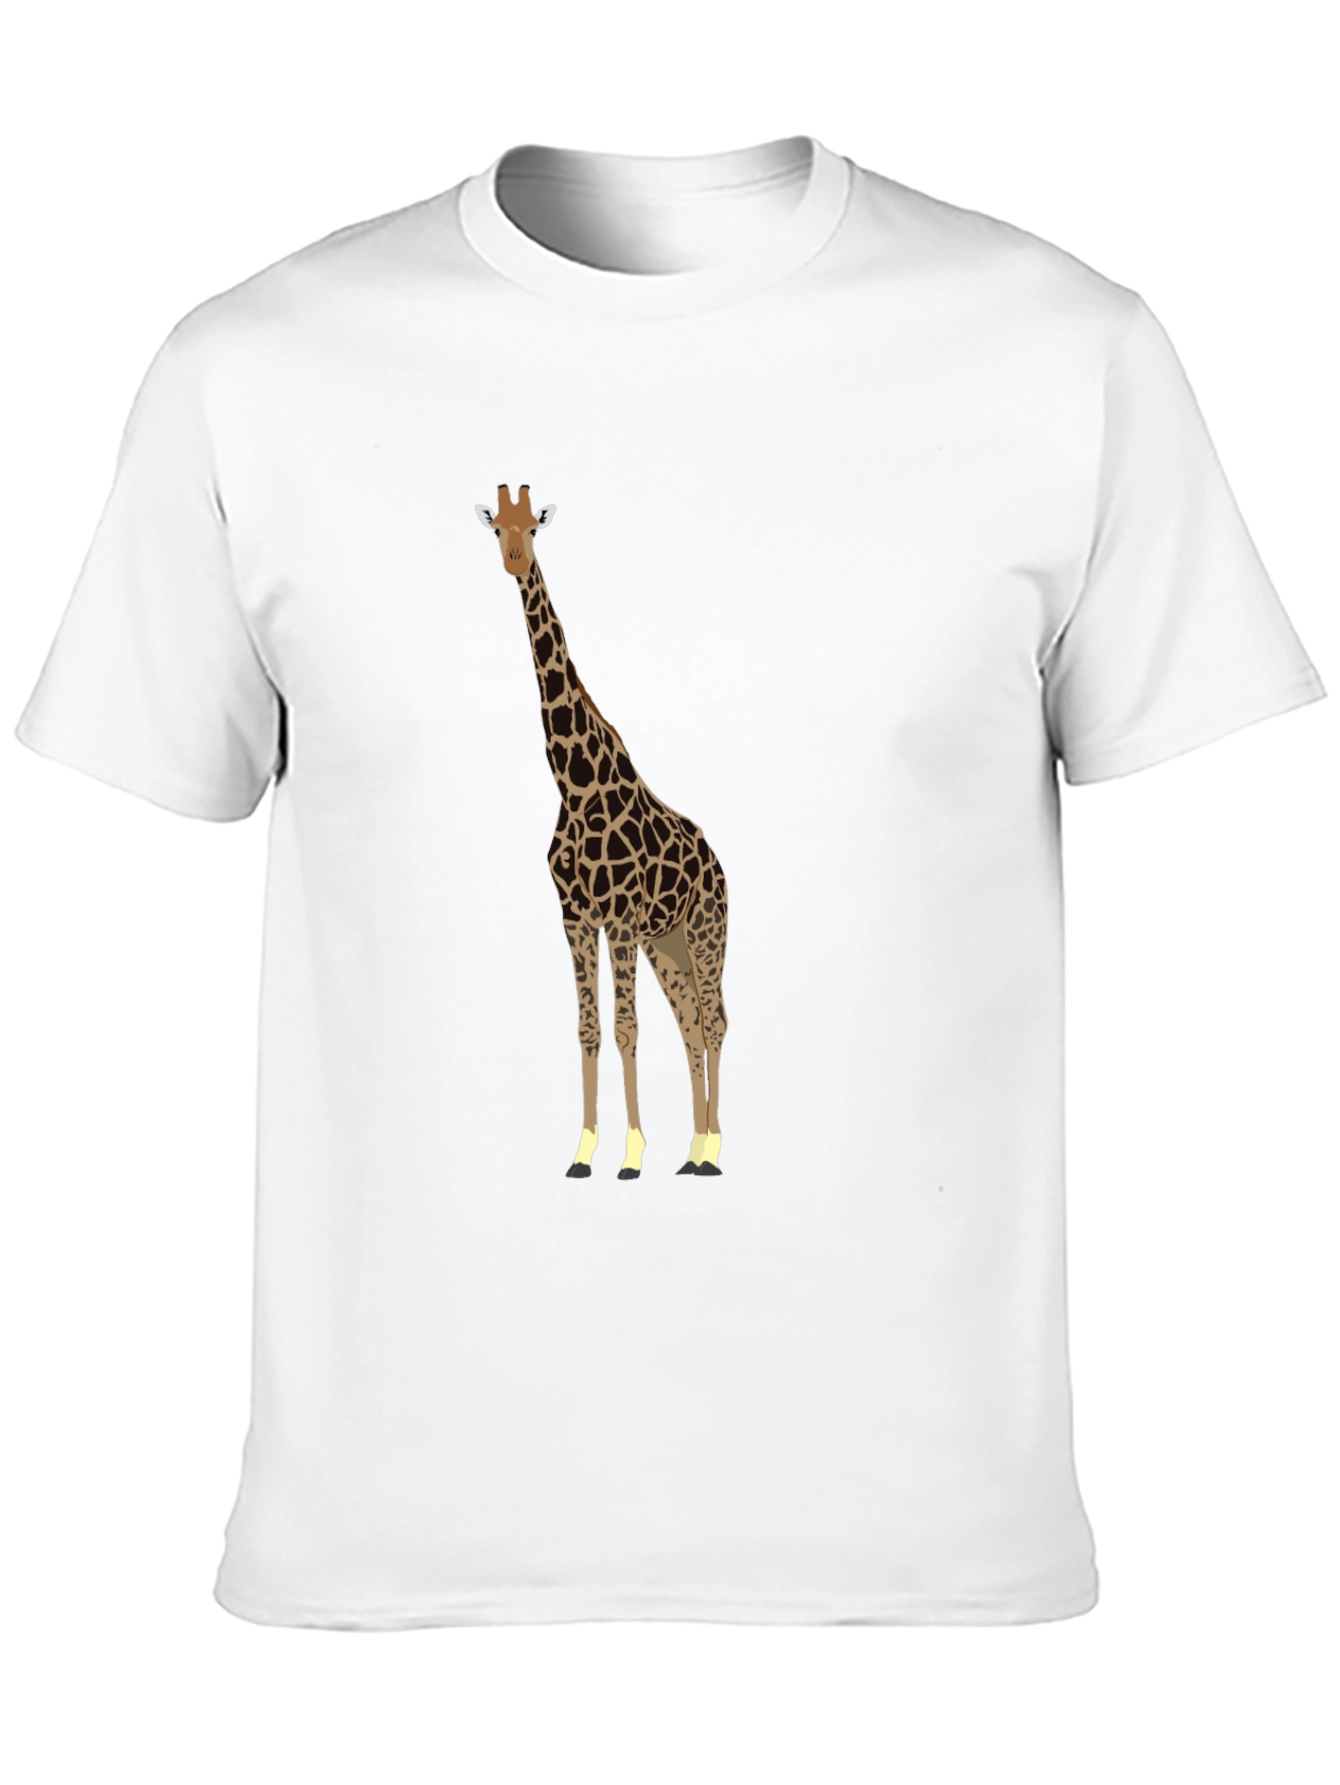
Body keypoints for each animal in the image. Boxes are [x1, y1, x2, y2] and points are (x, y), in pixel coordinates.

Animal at [474, 484, 728, 1181]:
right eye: (496, 528)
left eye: (534, 527)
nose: (513, 560)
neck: (574, 781)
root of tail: (719, 863)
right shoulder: (575, 916)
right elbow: (590, 1029)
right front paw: (584, 1151)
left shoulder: (617, 917)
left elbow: (624, 1029)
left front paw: (632, 1155)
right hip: (666, 943)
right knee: (692, 1023)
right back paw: (692, 1150)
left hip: (703, 933)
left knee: (715, 1021)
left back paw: (712, 1151)